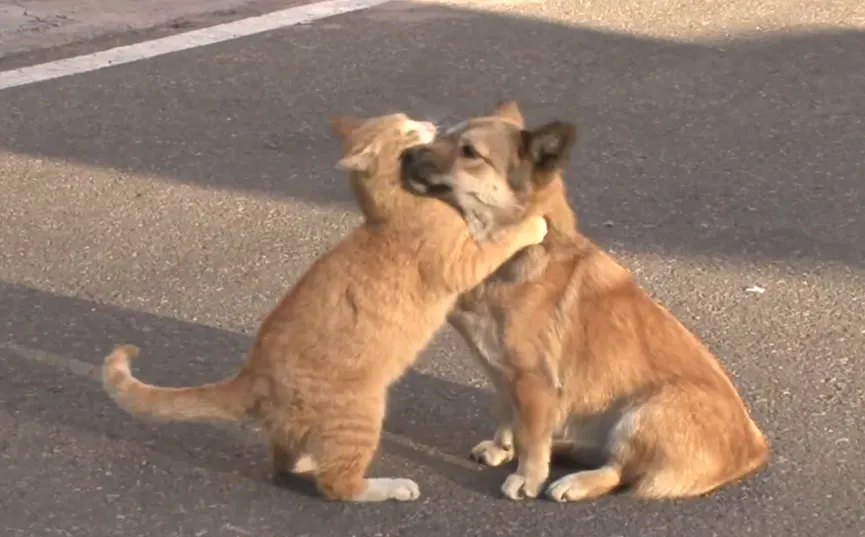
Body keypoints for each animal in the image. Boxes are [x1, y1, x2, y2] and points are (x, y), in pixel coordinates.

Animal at [101, 113, 548, 502]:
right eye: (407, 128)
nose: (428, 122)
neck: (389, 207)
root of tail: (253, 372)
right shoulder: (462, 262)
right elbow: (502, 240)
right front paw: (534, 223)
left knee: (283, 458)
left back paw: (305, 461)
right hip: (361, 413)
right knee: (338, 485)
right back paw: (390, 487)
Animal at [400, 101, 768, 502]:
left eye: (469, 152)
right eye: (444, 135)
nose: (404, 155)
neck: (520, 248)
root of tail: (755, 448)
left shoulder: (534, 381)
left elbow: (531, 437)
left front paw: (528, 477)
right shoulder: (503, 375)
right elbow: (508, 418)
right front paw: (503, 448)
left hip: (645, 413)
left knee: (619, 471)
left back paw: (575, 481)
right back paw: (563, 449)